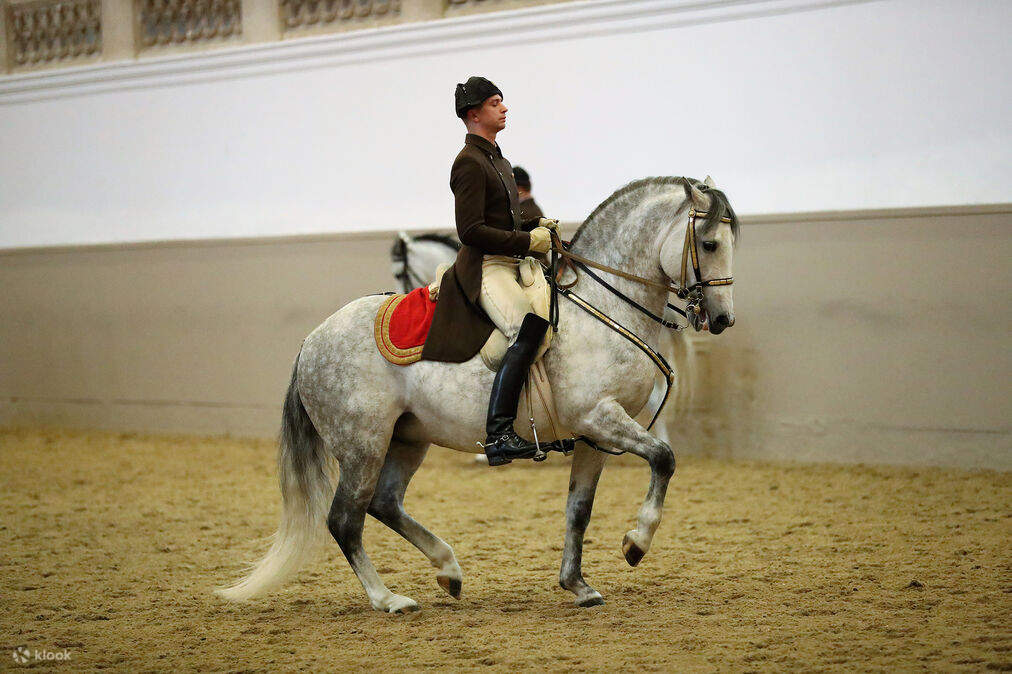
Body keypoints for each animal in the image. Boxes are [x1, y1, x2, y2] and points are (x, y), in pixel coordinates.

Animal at [217, 176, 738, 612]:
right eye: (709, 243)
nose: (721, 319)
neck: (606, 305)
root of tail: (312, 340)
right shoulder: (599, 418)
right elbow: (664, 458)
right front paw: (636, 543)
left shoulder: (595, 435)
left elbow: (580, 509)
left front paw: (577, 585)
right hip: (362, 444)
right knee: (346, 519)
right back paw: (389, 599)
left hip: (408, 438)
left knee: (384, 503)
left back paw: (448, 569)